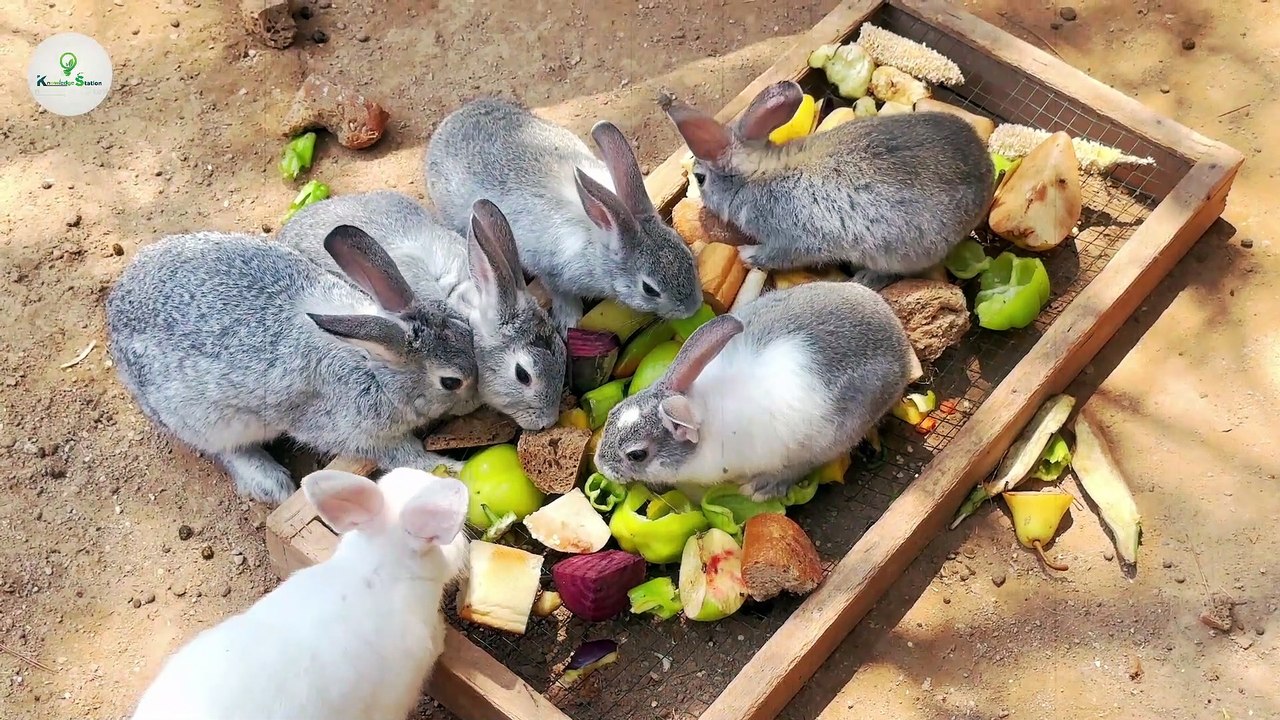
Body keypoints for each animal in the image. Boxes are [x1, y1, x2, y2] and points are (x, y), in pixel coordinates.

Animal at [105, 227, 478, 505]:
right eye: (450, 382)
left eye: (467, 332)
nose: (476, 402)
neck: (373, 367)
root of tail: (114, 311)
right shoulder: (351, 431)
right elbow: (403, 455)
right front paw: (447, 467)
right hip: (205, 420)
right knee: (224, 451)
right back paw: (270, 483)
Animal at [424, 97, 703, 331]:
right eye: (649, 289)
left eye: (687, 254)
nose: (693, 308)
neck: (600, 238)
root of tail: (444, 128)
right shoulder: (552, 273)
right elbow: (561, 294)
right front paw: (568, 322)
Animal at [593, 281, 914, 501]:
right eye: (613, 413)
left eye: (637, 455)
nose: (600, 466)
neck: (701, 408)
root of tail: (898, 341)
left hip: (827, 438)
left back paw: (763, 487)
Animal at [661, 79, 994, 290]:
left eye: (701, 178)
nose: (701, 201)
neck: (756, 176)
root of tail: (987, 173)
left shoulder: (792, 239)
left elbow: (774, 255)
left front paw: (746, 254)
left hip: (898, 251)